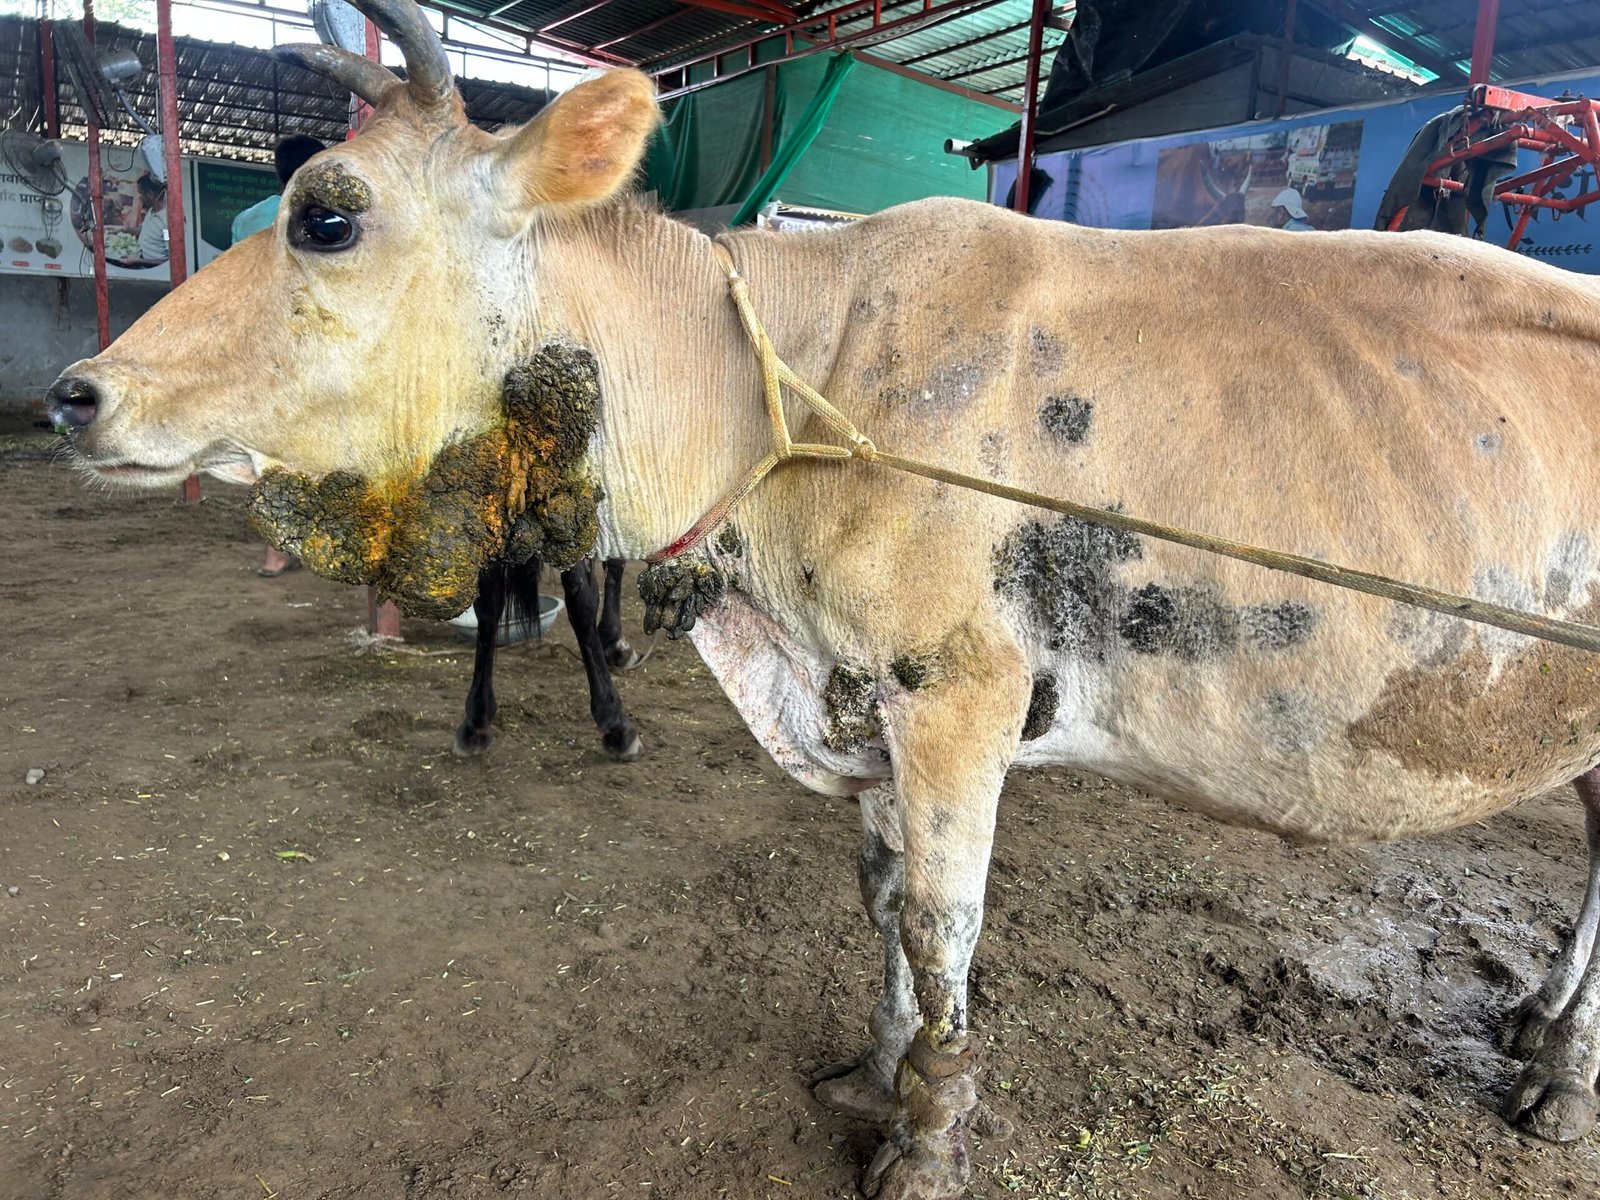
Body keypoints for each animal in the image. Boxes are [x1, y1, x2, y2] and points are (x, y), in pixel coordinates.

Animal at [43, 1, 1600, 1192]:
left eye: (325, 215)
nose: (74, 393)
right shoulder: (859, 697)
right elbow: (884, 897)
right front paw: (874, 1076)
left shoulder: (960, 699)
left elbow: (942, 926)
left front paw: (927, 1141)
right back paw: (1541, 1030)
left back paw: (1562, 1081)